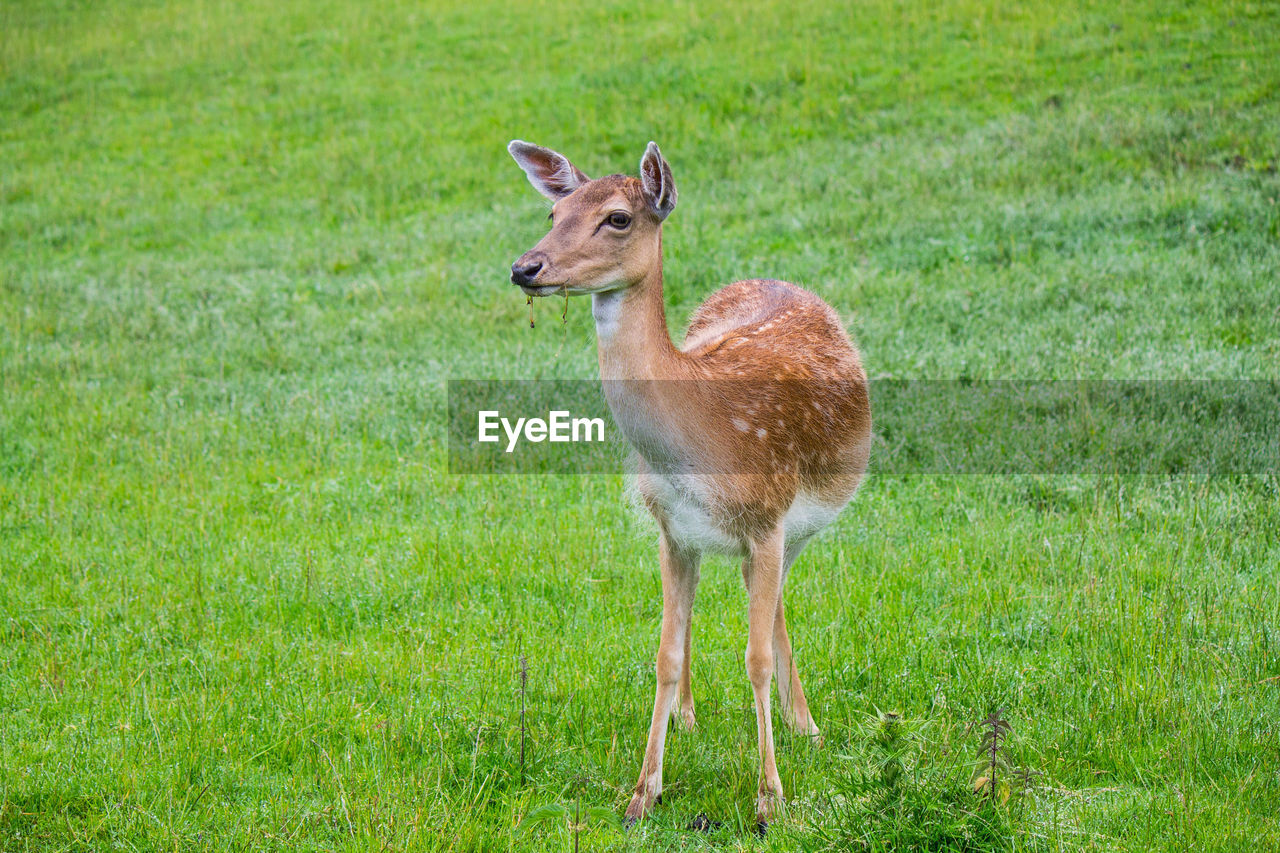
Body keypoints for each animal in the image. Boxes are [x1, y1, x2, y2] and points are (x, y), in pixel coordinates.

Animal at [506, 137, 870, 824]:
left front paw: (769, 798)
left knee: (777, 608)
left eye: (618, 218)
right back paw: (691, 719)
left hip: (802, 525)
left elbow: (755, 658)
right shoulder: (671, 529)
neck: (704, 438)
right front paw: (642, 793)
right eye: (553, 213)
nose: (525, 268)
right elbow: (664, 655)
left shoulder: (769, 519)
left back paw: (806, 728)